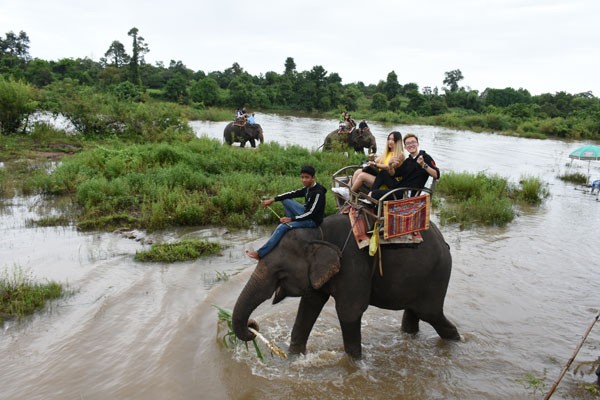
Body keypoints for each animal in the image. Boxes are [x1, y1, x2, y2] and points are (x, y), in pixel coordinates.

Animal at [231, 214, 460, 358]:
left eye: (280, 273)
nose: (253, 326)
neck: (319, 233)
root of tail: (444, 242)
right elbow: (308, 306)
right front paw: (293, 358)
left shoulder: (353, 264)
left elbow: (349, 312)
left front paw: (355, 363)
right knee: (414, 313)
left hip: (437, 275)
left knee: (431, 314)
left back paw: (457, 341)